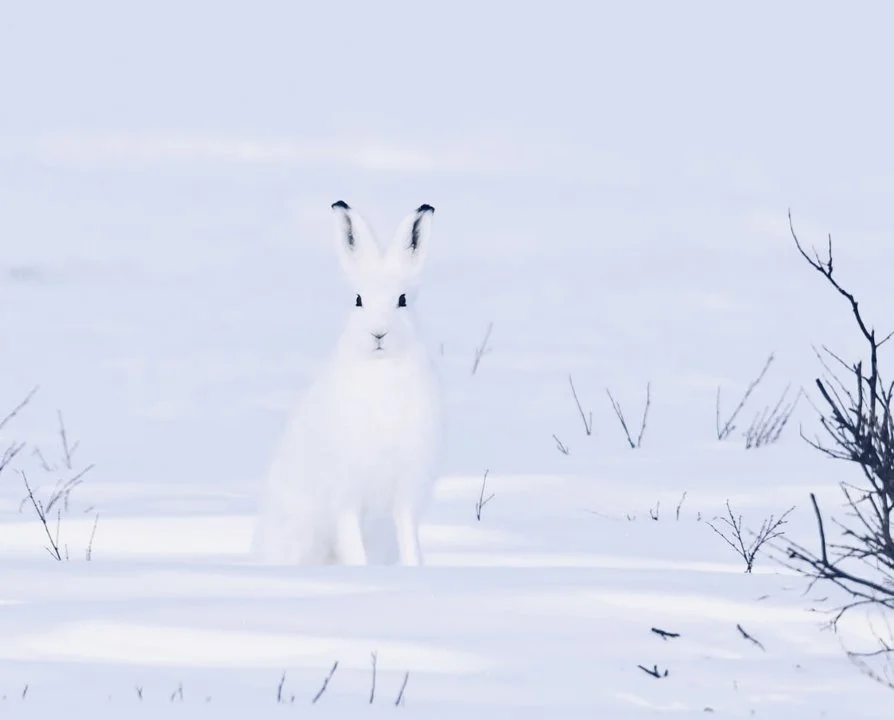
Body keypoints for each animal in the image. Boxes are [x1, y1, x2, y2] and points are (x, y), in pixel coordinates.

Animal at [251, 200, 442, 566]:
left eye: (402, 300)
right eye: (358, 300)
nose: (378, 333)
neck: (381, 374)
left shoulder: (406, 491)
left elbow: (409, 537)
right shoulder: (345, 495)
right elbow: (352, 541)